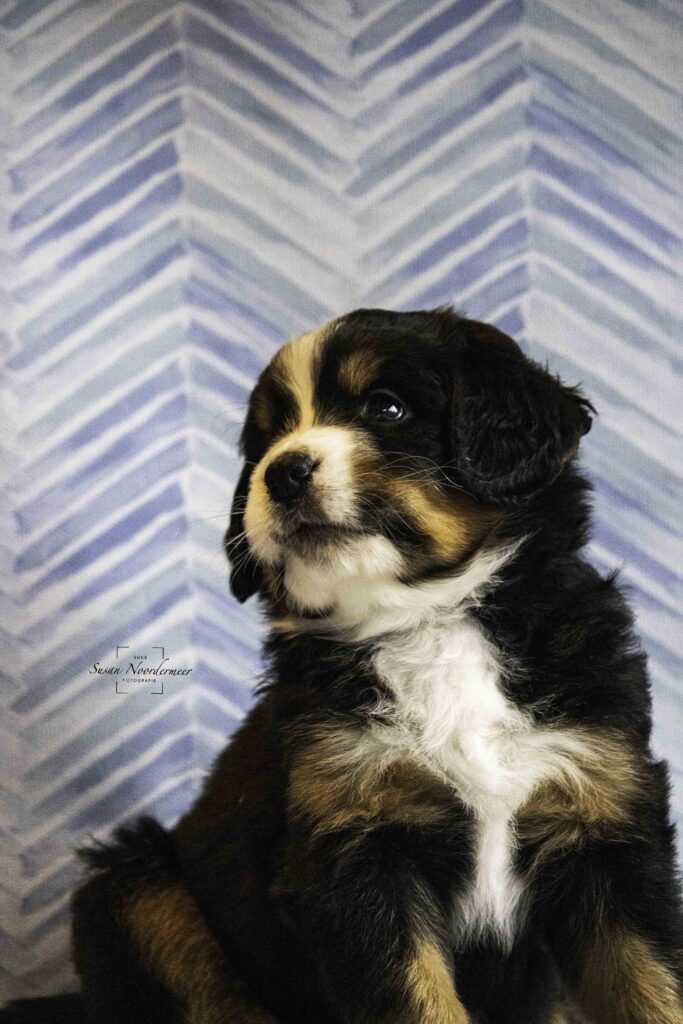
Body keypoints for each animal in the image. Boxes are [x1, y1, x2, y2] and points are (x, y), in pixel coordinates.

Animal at [2, 307, 682, 1024]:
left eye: (386, 406)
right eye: (269, 437)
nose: (282, 472)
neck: (430, 622)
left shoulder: (605, 823)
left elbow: (646, 983)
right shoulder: (355, 842)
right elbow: (417, 999)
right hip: (137, 885)